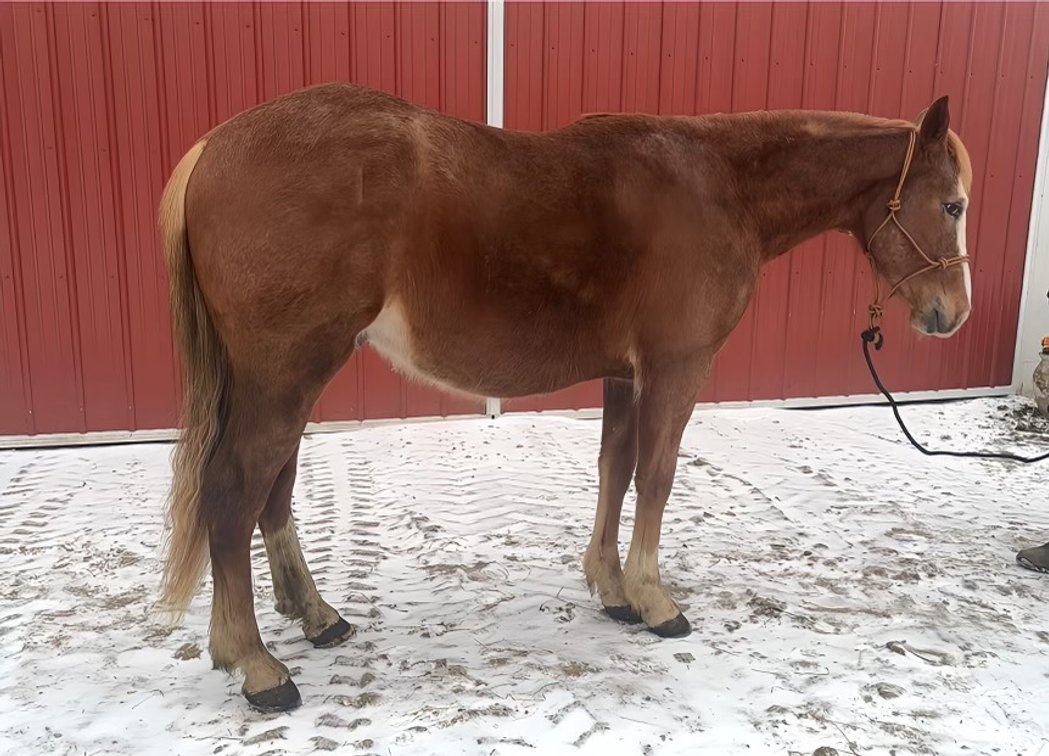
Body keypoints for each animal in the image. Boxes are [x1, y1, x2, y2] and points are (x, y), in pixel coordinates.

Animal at [156, 82, 972, 712]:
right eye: (954, 205)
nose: (951, 313)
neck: (719, 185)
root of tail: (214, 149)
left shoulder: (624, 373)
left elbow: (615, 471)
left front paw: (612, 590)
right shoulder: (676, 368)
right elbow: (656, 478)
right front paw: (655, 601)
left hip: (289, 381)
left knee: (272, 493)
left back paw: (317, 618)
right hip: (284, 377)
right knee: (233, 494)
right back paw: (257, 665)